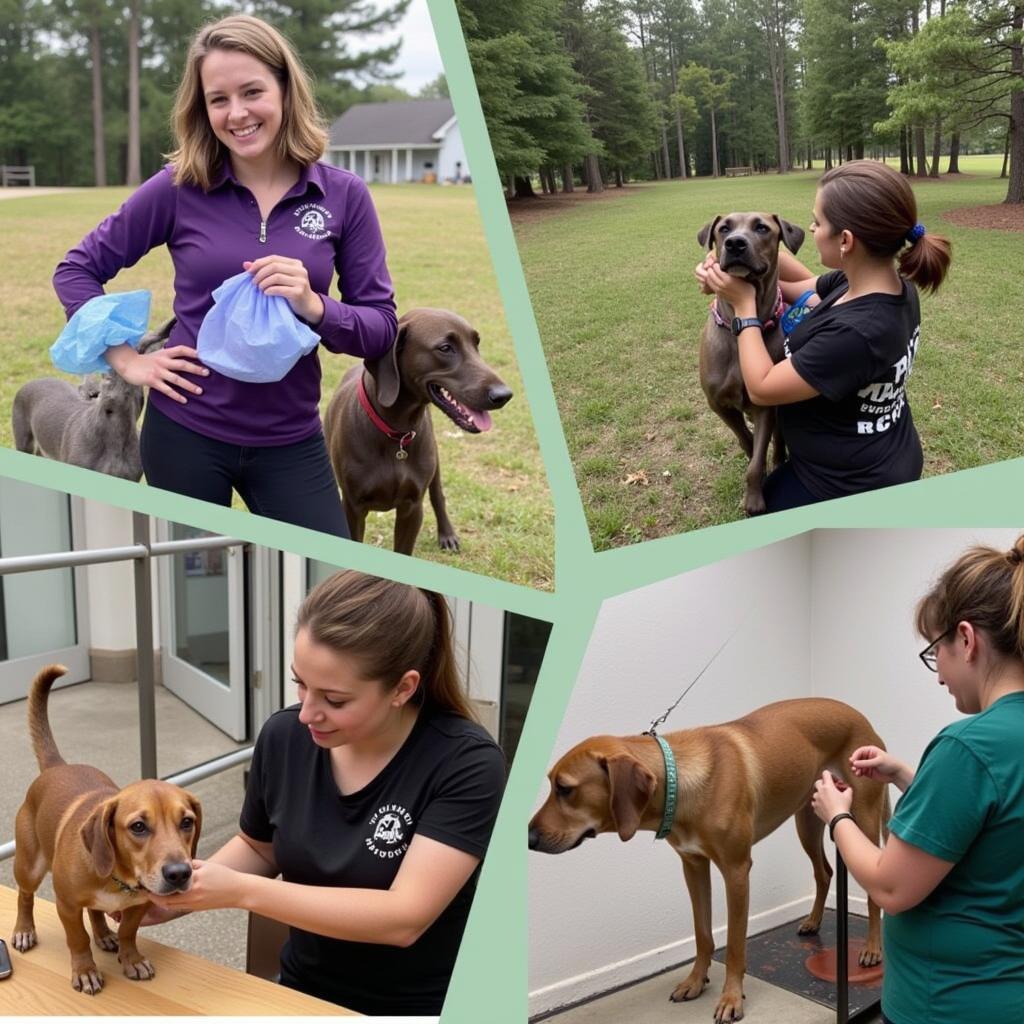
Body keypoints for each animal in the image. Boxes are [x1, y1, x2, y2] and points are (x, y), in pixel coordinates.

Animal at [9, 663, 201, 991]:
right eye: (138, 826)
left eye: (186, 822)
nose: (179, 874)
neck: (118, 877)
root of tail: (57, 766)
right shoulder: (66, 905)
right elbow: (77, 939)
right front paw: (85, 969)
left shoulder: (139, 905)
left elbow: (128, 932)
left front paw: (131, 958)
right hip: (29, 866)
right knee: (24, 894)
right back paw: (24, 929)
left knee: (95, 911)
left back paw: (103, 933)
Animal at [323, 307, 512, 557]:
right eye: (445, 348)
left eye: (476, 344)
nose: (504, 395)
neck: (397, 431)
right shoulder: (353, 509)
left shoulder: (412, 508)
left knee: (438, 496)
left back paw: (447, 534)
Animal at [528, 696, 888, 1024]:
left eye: (565, 788)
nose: (529, 837)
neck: (680, 780)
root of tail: (863, 719)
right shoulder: (693, 866)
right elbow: (702, 934)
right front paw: (695, 980)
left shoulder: (737, 870)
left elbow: (735, 944)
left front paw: (731, 998)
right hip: (809, 820)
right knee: (824, 872)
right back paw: (813, 921)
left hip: (864, 818)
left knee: (875, 888)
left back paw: (873, 948)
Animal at [700, 211, 802, 516]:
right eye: (724, 229)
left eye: (761, 228)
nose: (735, 243)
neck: (740, 328)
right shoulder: (719, 404)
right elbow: (746, 440)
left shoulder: (764, 405)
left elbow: (757, 460)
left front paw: (755, 499)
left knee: (780, 436)